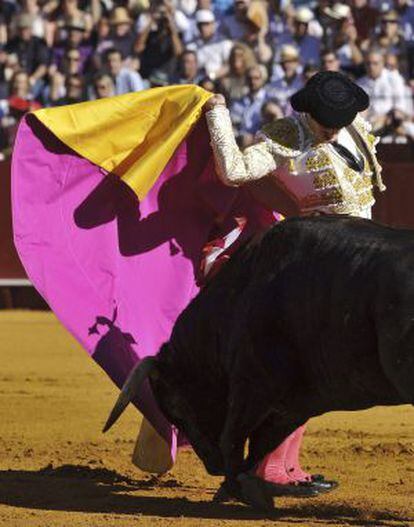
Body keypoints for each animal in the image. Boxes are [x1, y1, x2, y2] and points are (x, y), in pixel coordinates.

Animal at [102, 216, 414, 512]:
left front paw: (242, 490)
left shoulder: (254, 384)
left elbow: (234, 438)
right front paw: (245, 487)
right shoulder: (293, 402)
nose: (212, 465)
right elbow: (260, 444)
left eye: (176, 406)